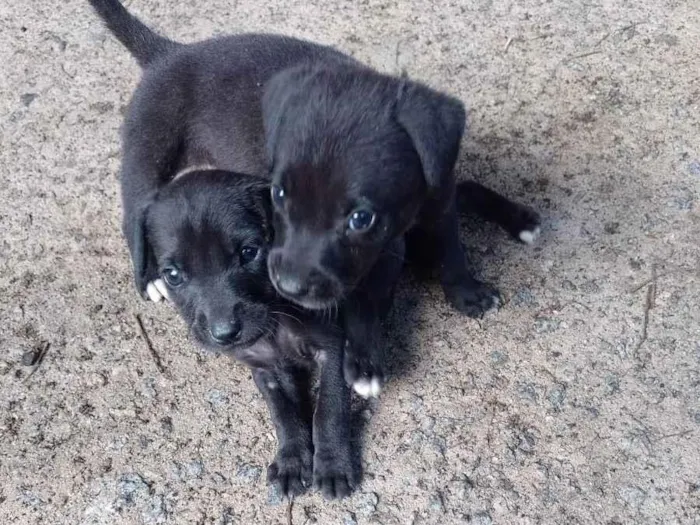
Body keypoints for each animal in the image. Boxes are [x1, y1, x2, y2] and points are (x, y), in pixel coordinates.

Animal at [89, 0, 540, 398]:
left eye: (360, 219)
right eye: (278, 194)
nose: (287, 287)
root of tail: (168, 52)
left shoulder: (435, 202)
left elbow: (451, 248)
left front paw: (467, 291)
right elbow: (361, 301)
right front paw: (364, 364)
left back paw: (520, 219)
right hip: (147, 153)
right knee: (135, 213)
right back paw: (149, 278)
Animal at [146, 169, 358, 500]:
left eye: (249, 252)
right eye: (173, 275)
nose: (225, 333)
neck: (273, 321)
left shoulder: (333, 347)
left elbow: (329, 407)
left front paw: (333, 465)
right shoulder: (265, 369)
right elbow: (284, 413)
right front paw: (292, 461)